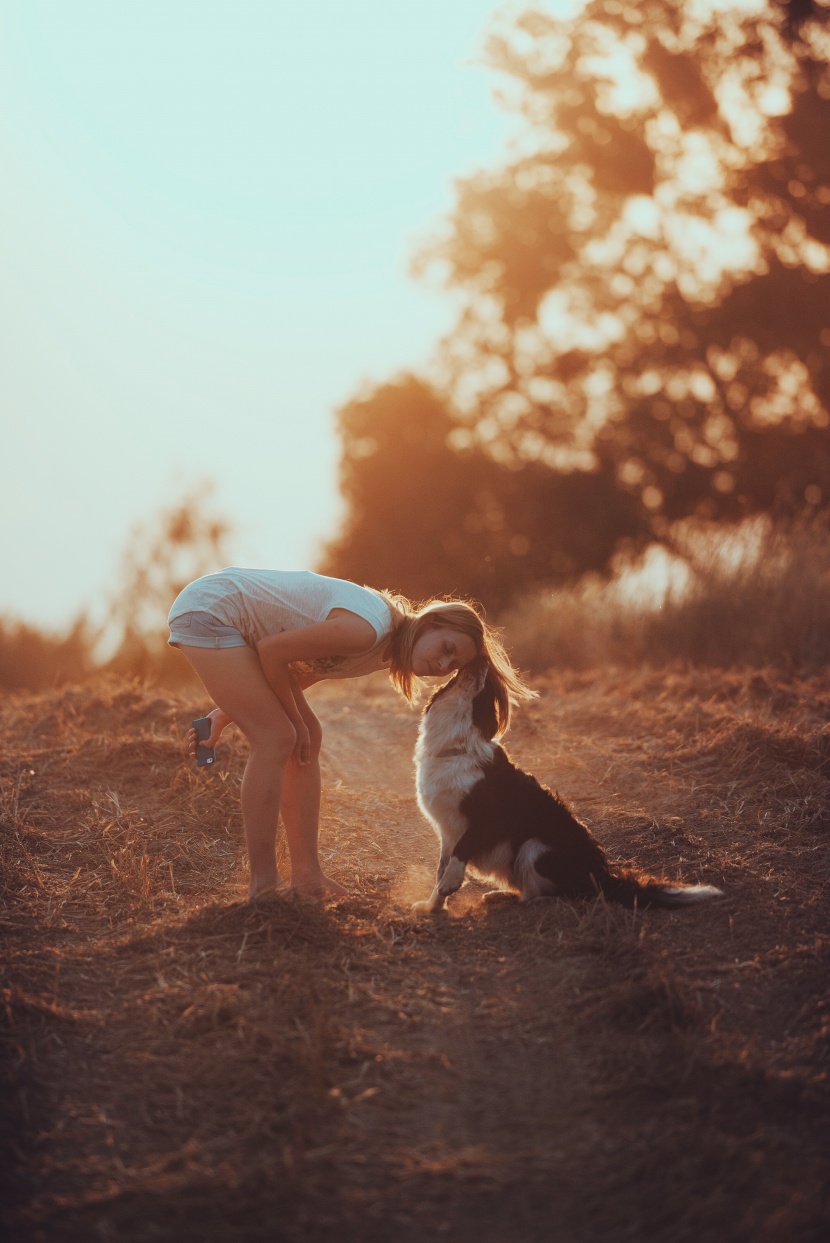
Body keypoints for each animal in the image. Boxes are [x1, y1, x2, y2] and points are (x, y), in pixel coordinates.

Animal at [412, 661, 720, 914]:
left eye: (488, 693)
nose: (479, 659)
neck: (456, 748)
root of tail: (603, 877)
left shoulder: (486, 819)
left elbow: (460, 853)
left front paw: (450, 885)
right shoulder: (446, 830)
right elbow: (441, 867)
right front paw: (432, 907)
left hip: (535, 847)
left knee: (560, 895)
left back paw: (530, 901)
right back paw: (500, 896)